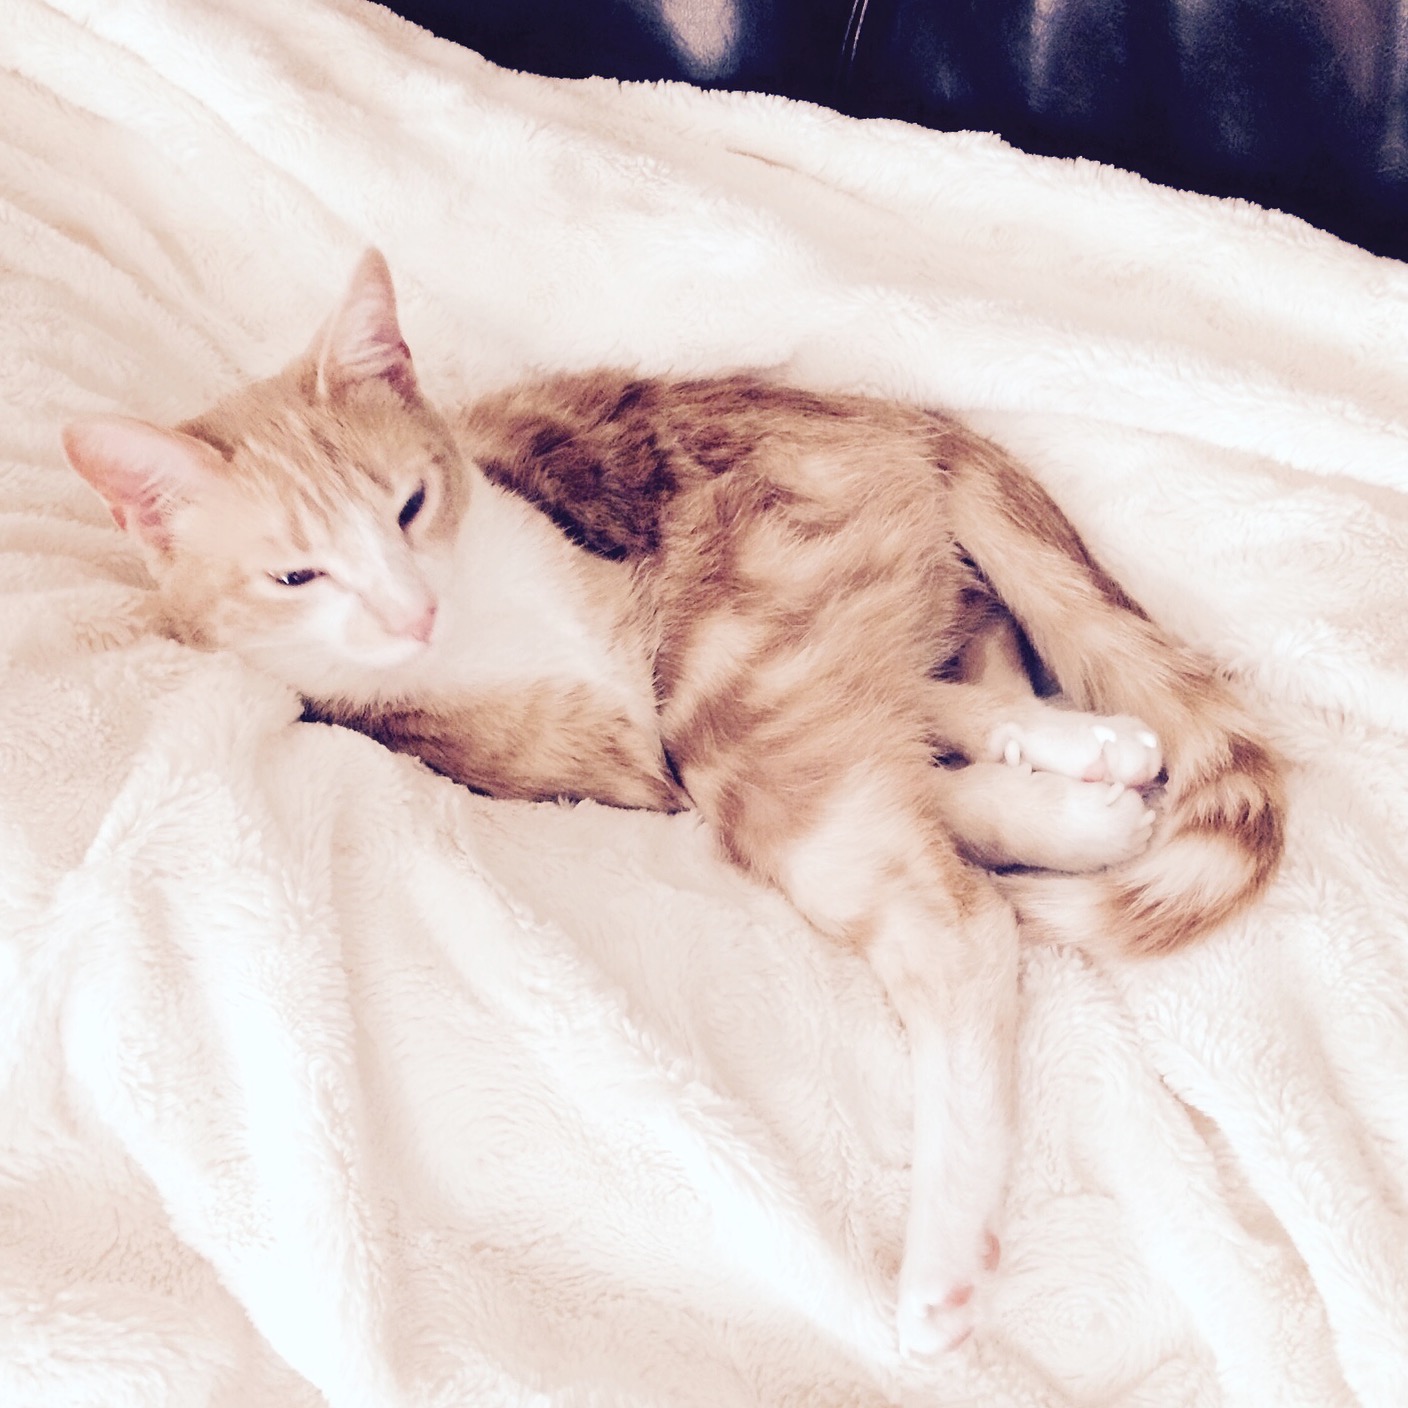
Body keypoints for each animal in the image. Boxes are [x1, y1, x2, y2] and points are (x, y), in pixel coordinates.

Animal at [61, 249, 1285, 1357]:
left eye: (410, 505)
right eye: (295, 576)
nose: (412, 612)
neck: (499, 630)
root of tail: (898, 415)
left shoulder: (647, 674)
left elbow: (913, 744)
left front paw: (1066, 775)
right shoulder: (596, 759)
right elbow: (927, 762)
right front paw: (1070, 798)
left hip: (739, 645)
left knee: (950, 896)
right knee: (934, 832)